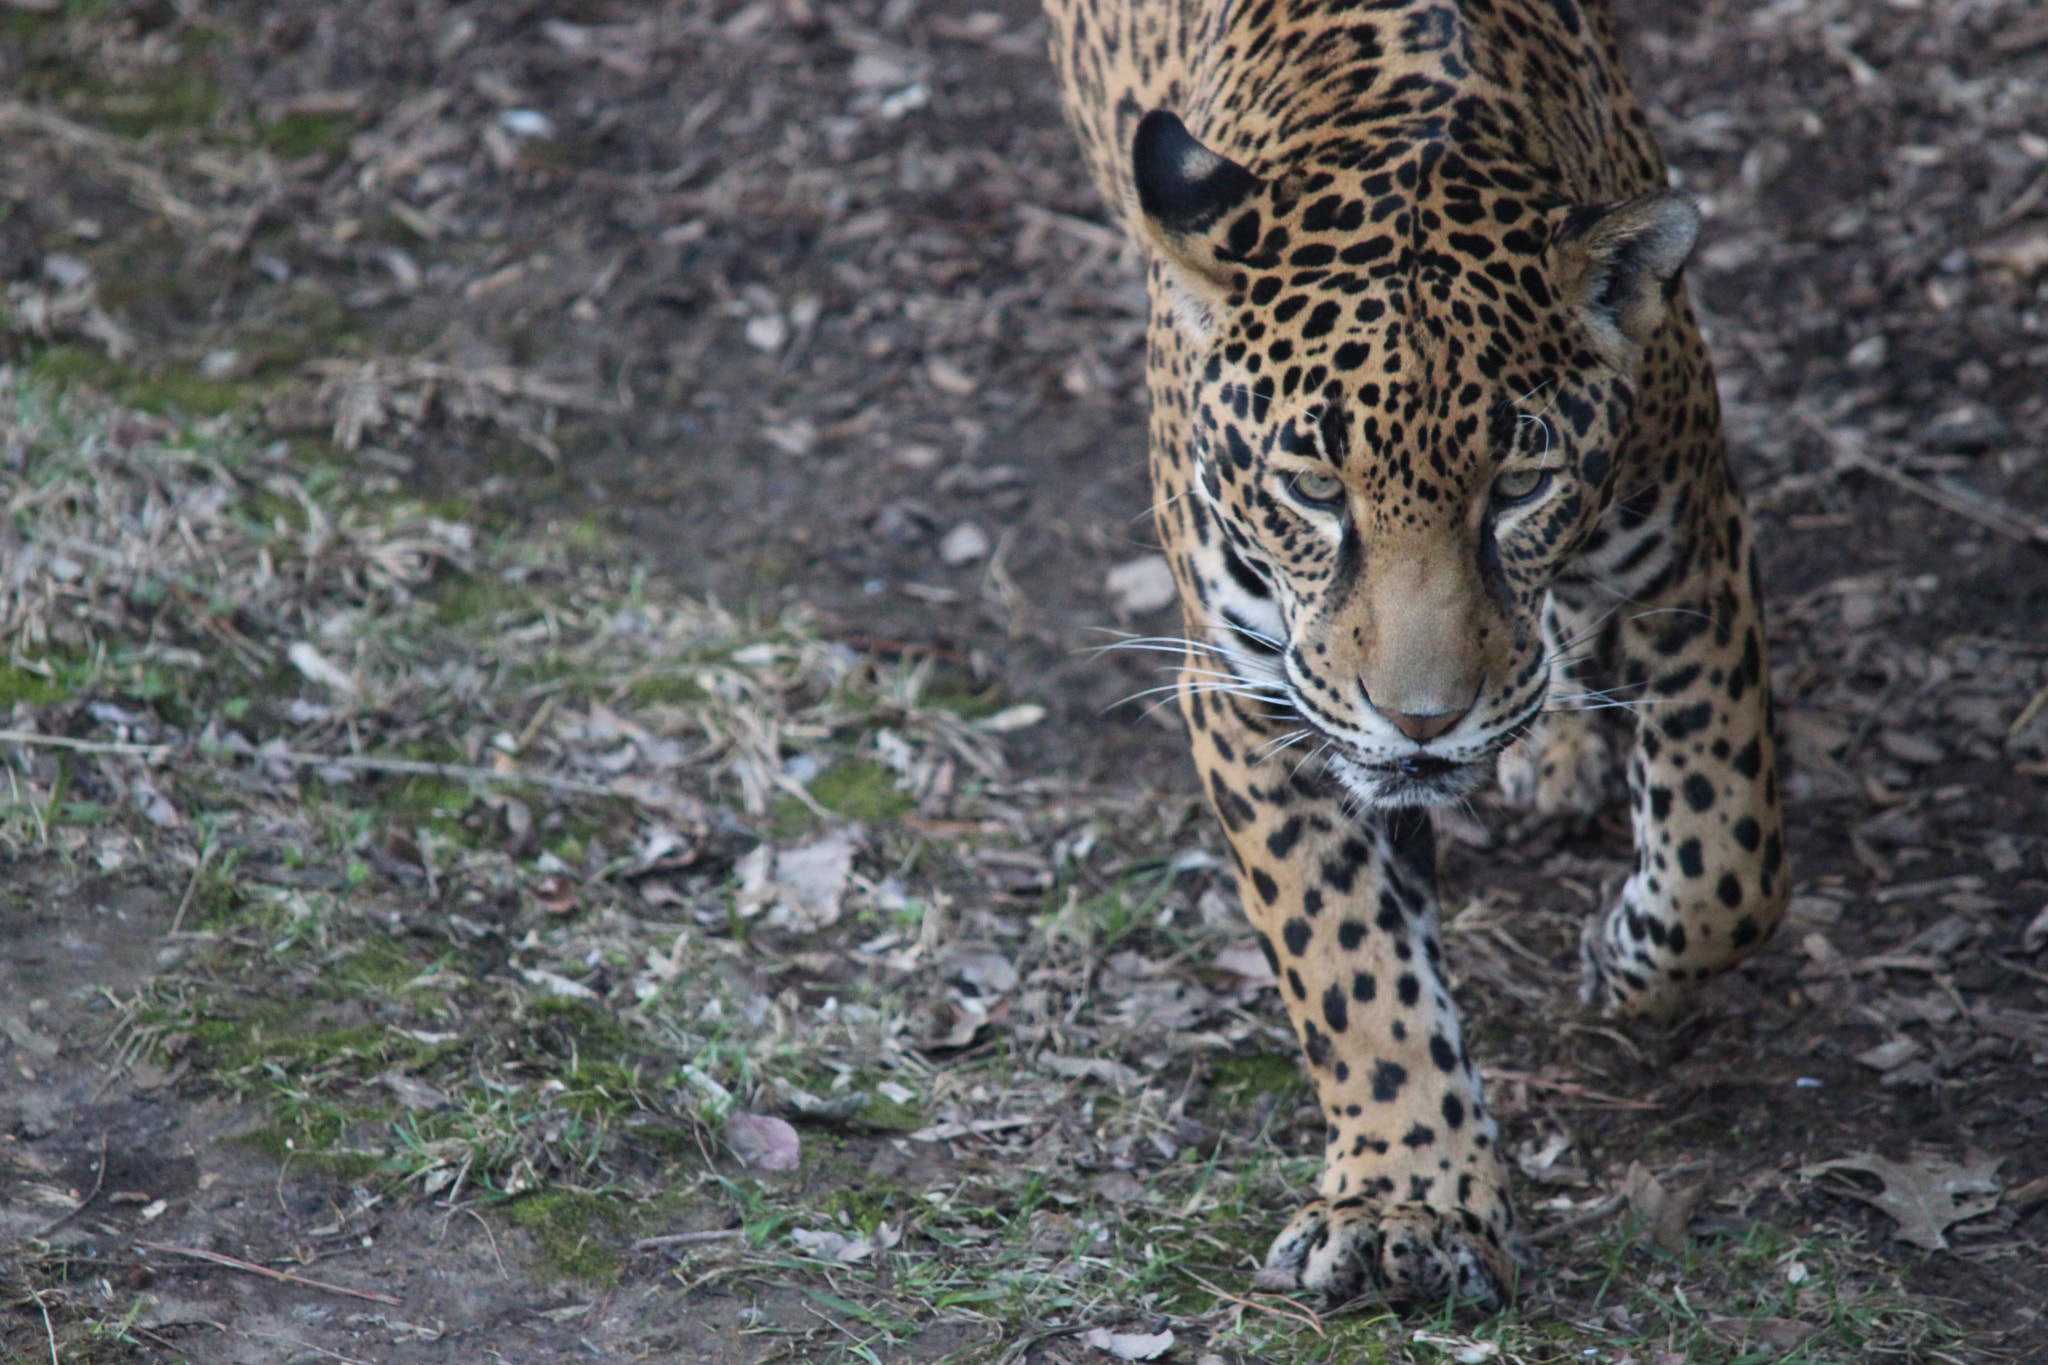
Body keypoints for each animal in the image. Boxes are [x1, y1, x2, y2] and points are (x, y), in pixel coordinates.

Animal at [1043, 0, 1789, 1311]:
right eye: (1309, 489)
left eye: (1520, 486)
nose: (1424, 722)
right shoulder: (1247, 693)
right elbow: (1350, 964)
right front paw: (1411, 1201)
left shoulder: (1693, 564)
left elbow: (1725, 860)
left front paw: (1615, 962)